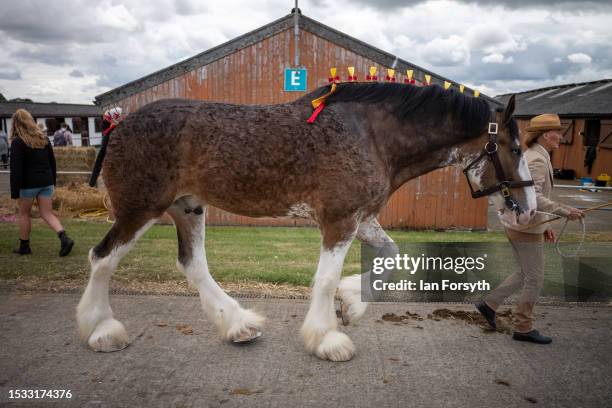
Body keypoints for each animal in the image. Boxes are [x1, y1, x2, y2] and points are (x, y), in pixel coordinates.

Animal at [77, 82, 536, 360]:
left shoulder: (362, 218)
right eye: (515, 147)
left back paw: (238, 324)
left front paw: (353, 303)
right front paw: (327, 336)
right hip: (142, 209)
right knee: (101, 258)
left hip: (187, 207)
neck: (373, 136)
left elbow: (391, 254)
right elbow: (326, 279)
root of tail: (117, 125)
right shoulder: (339, 220)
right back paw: (101, 330)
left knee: (193, 265)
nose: (529, 206)